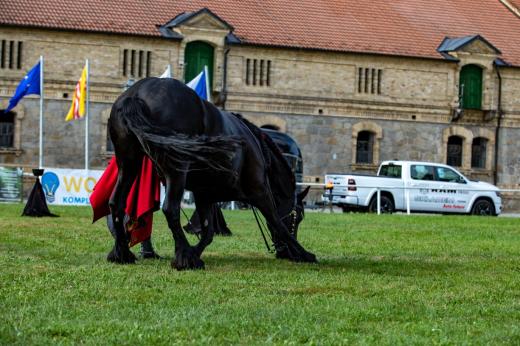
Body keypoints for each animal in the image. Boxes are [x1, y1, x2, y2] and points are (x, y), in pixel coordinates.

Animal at [107, 78, 314, 270]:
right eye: (298, 216)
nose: (283, 253)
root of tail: (136, 94)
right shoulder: (260, 191)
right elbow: (277, 222)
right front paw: (303, 252)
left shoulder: (204, 194)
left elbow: (208, 232)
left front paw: (195, 253)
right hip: (176, 171)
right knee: (170, 209)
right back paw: (182, 256)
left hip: (129, 164)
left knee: (116, 203)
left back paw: (122, 253)